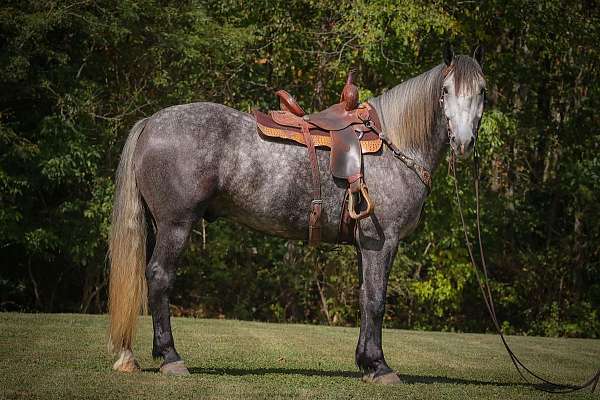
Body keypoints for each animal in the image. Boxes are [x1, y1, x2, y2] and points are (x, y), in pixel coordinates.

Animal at [108, 45, 486, 382]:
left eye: (482, 91)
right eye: (446, 91)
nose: (464, 142)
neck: (394, 144)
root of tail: (152, 123)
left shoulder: (365, 245)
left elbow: (365, 297)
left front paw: (366, 362)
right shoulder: (382, 241)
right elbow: (377, 300)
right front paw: (380, 367)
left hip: (158, 226)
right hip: (176, 225)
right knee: (159, 277)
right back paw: (171, 357)